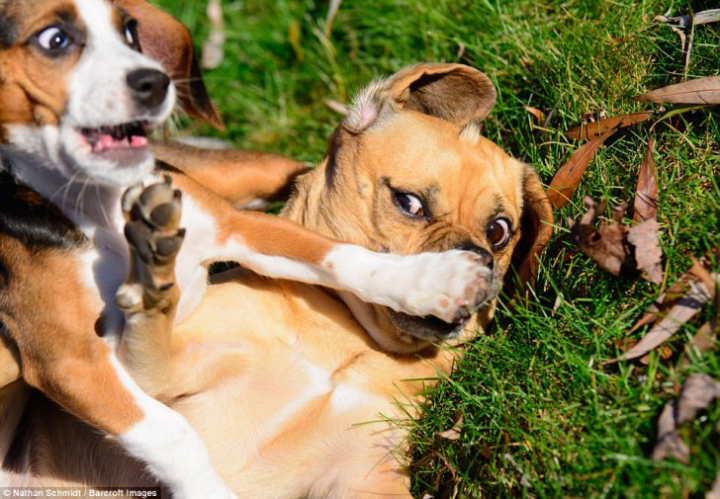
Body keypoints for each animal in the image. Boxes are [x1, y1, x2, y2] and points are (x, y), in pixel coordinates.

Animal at [0, 1, 504, 498]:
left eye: (128, 30)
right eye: (53, 40)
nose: (155, 82)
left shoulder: (238, 227)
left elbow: (341, 256)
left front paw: (434, 280)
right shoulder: (70, 362)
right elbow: (172, 433)